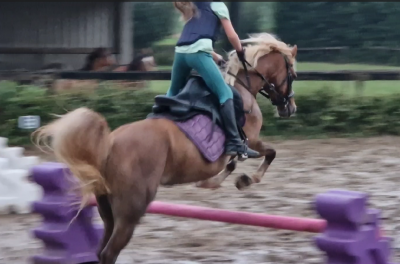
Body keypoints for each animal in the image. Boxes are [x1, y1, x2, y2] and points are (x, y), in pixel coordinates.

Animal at [33, 33, 296, 264]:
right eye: (292, 75)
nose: (290, 108)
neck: (242, 87)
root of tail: (108, 145)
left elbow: (231, 164)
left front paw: (212, 183)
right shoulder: (249, 141)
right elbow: (269, 153)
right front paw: (246, 180)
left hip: (106, 208)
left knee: (101, 249)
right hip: (132, 209)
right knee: (109, 253)